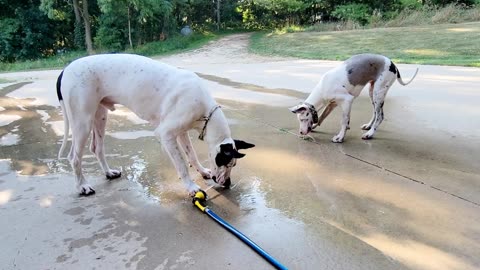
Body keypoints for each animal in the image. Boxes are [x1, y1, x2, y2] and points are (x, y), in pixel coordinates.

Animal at [56, 53, 255, 196]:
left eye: (232, 166)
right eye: (226, 163)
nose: (228, 184)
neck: (206, 111)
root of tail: (65, 69)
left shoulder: (181, 132)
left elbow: (191, 155)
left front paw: (202, 171)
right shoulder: (166, 134)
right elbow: (182, 164)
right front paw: (191, 187)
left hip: (99, 116)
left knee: (97, 148)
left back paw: (108, 173)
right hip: (82, 122)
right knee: (74, 157)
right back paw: (82, 186)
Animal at [290, 52, 418, 141]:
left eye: (303, 119)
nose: (300, 133)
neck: (323, 88)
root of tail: (393, 64)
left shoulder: (347, 100)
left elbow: (343, 120)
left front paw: (340, 137)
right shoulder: (332, 104)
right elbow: (322, 116)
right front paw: (316, 125)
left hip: (378, 93)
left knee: (380, 116)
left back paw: (370, 134)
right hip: (372, 92)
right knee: (375, 113)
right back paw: (369, 126)